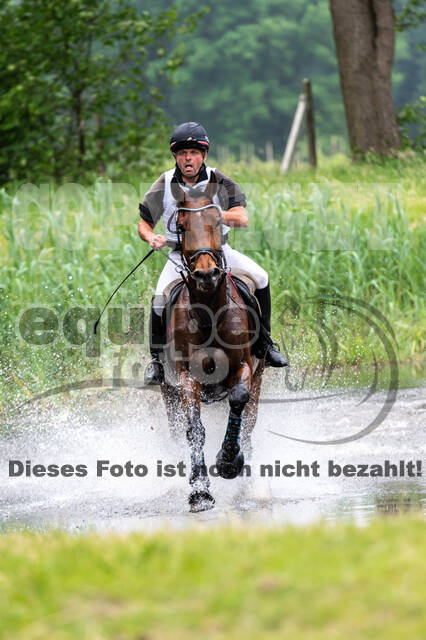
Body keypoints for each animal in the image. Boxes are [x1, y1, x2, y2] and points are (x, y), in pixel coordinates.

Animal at [160, 174, 265, 512]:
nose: (206, 274)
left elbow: (239, 399)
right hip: (166, 392)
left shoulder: (244, 368)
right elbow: (194, 430)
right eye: (180, 225)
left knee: (249, 426)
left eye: (217, 221)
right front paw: (200, 491)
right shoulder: (185, 378)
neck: (208, 311)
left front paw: (229, 462)